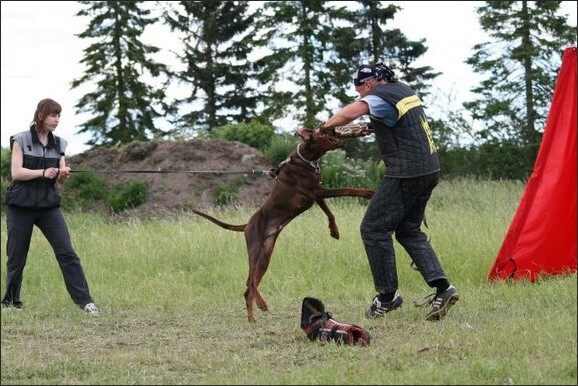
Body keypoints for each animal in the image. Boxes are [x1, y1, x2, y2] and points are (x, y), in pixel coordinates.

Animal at [192, 124, 374, 322]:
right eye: (321, 128)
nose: (332, 127)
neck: (307, 159)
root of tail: (247, 225)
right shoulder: (318, 191)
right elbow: (348, 189)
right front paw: (369, 192)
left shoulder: (317, 195)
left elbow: (330, 213)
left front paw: (334, 231)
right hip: (255, 249)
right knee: (250, 282)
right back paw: (257, 310)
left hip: (266, 254)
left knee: (250, 283)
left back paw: (256, 311)